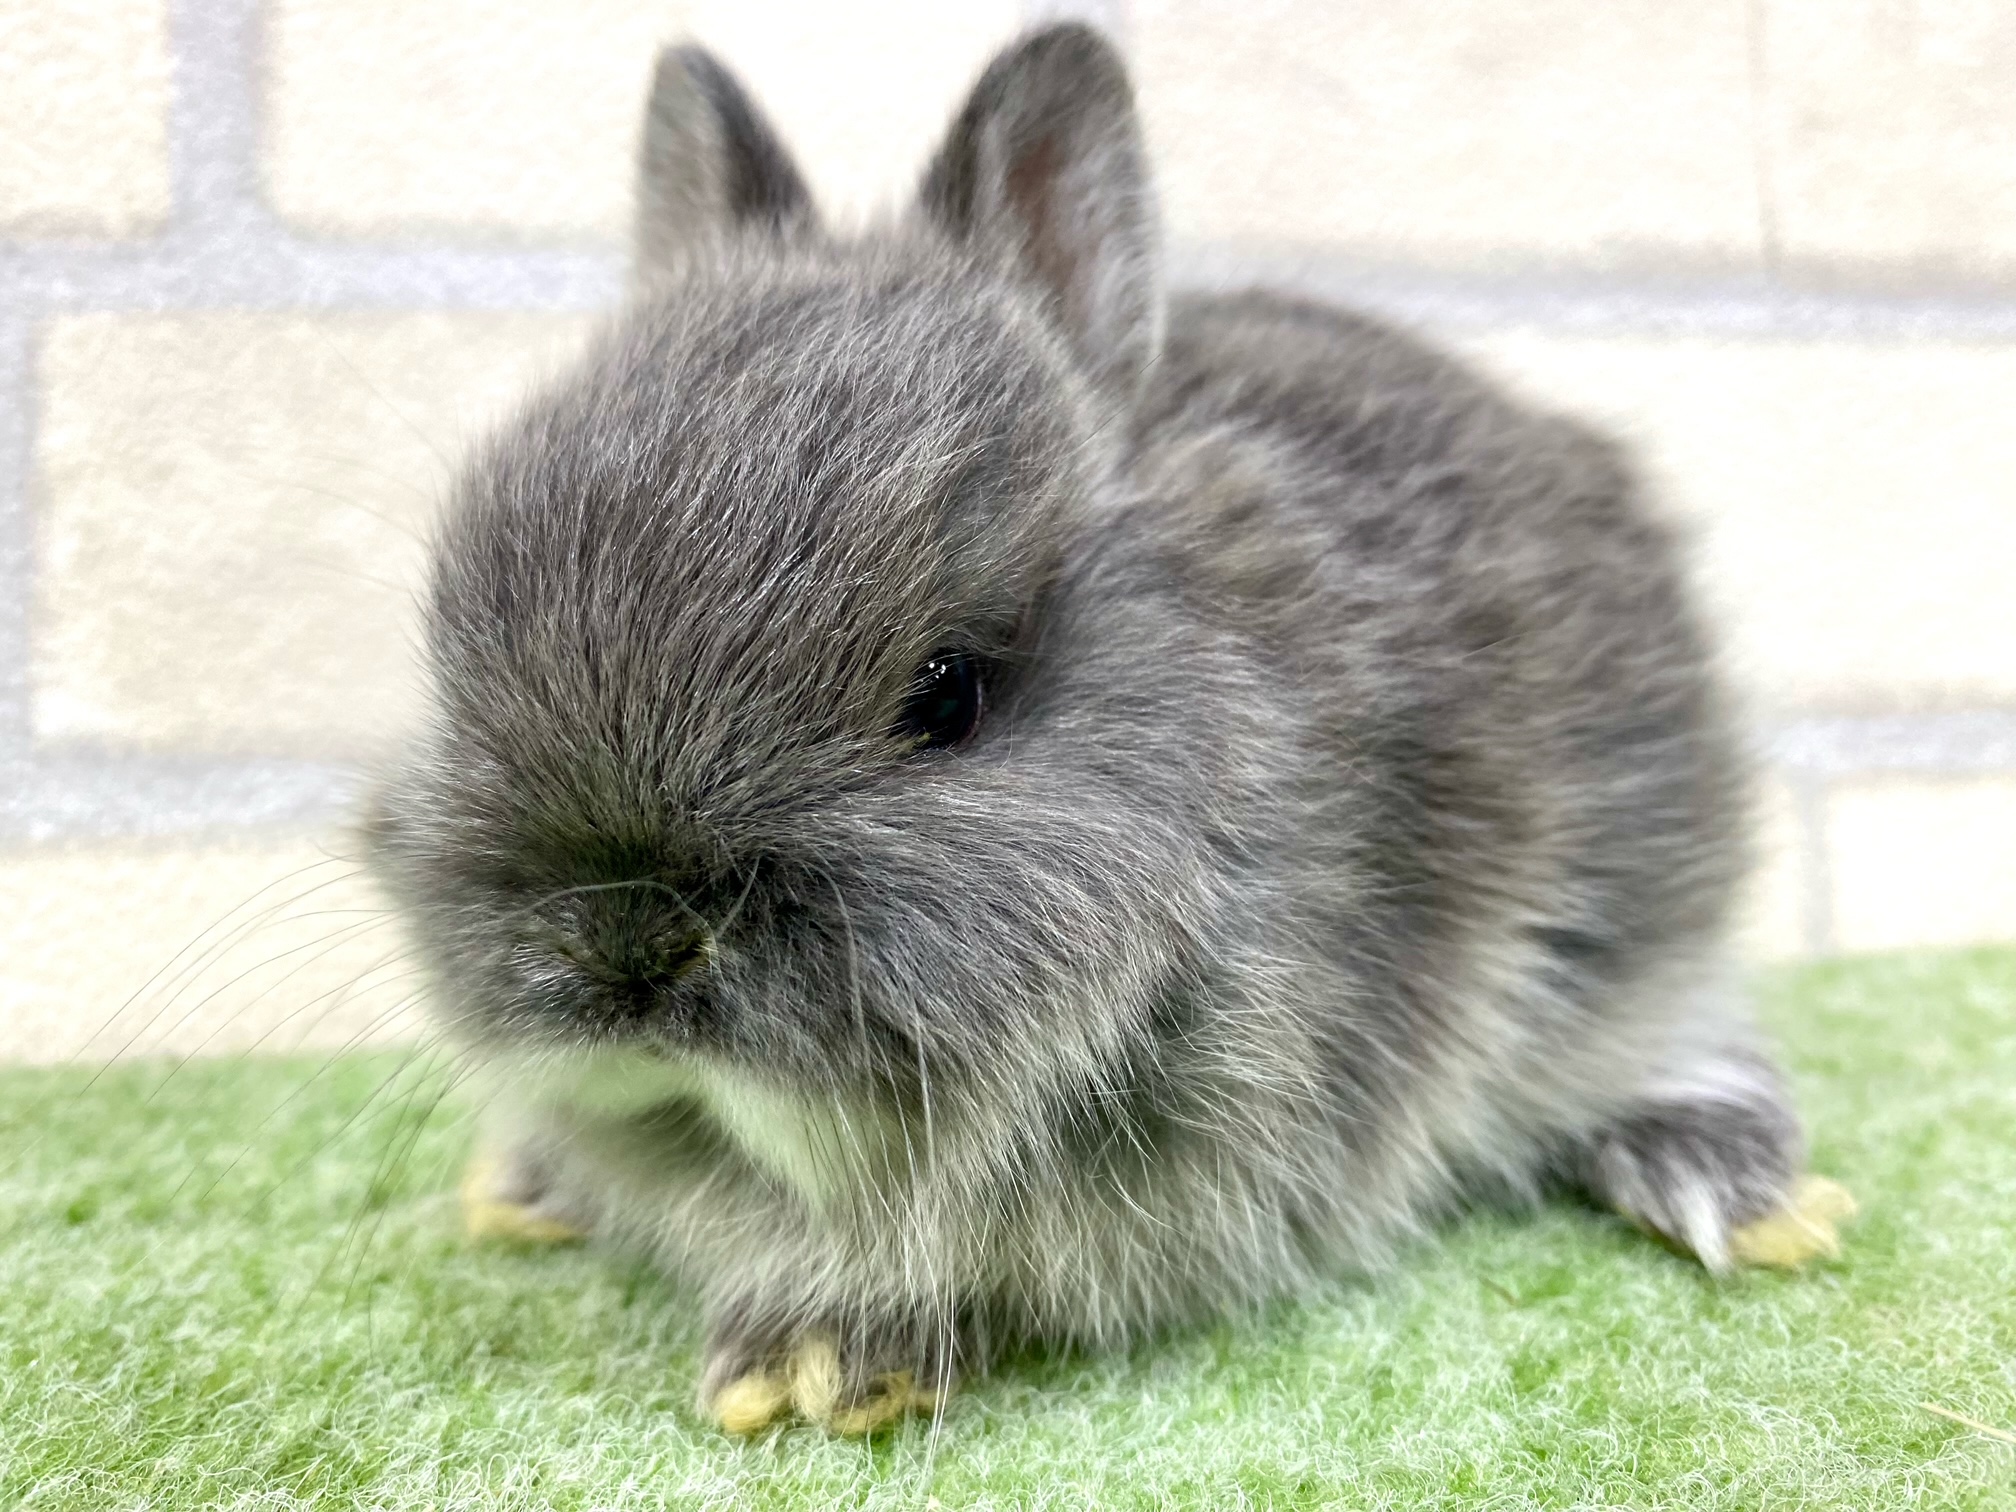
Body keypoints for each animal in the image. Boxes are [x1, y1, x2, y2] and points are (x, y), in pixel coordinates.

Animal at [364, 23, 1832, 1436]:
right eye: (459, 634)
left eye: (947, 695)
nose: (626, 943)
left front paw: (818, 1361)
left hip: (1642, 908)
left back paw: (1746, 1199)